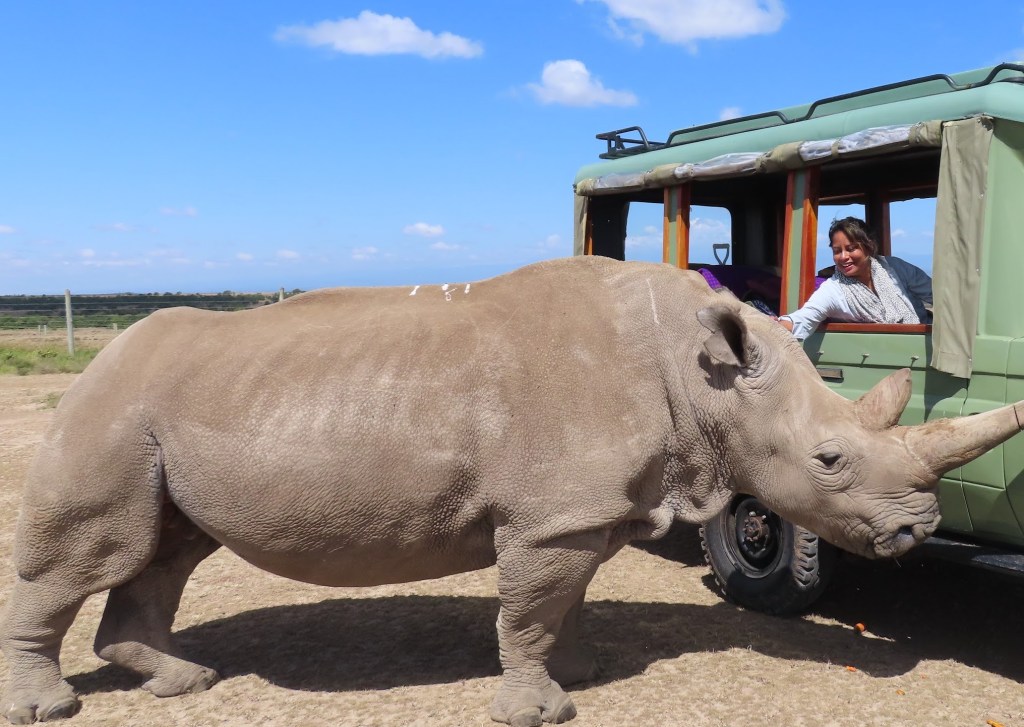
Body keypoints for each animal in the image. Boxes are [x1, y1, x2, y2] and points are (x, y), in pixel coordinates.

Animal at [3, 256, 1022, 725]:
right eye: (830, 461)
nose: (918, 529)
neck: (705, 381)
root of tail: (104, 356)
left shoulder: (583, 512)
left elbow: (561, 603)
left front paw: (584, 672)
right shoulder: (551, 517)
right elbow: (528, 608)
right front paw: (541, 708)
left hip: (158, 418)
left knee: (167, 551)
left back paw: (182, 679)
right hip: (111, 408)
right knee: (95, 553)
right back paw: (54, 707)